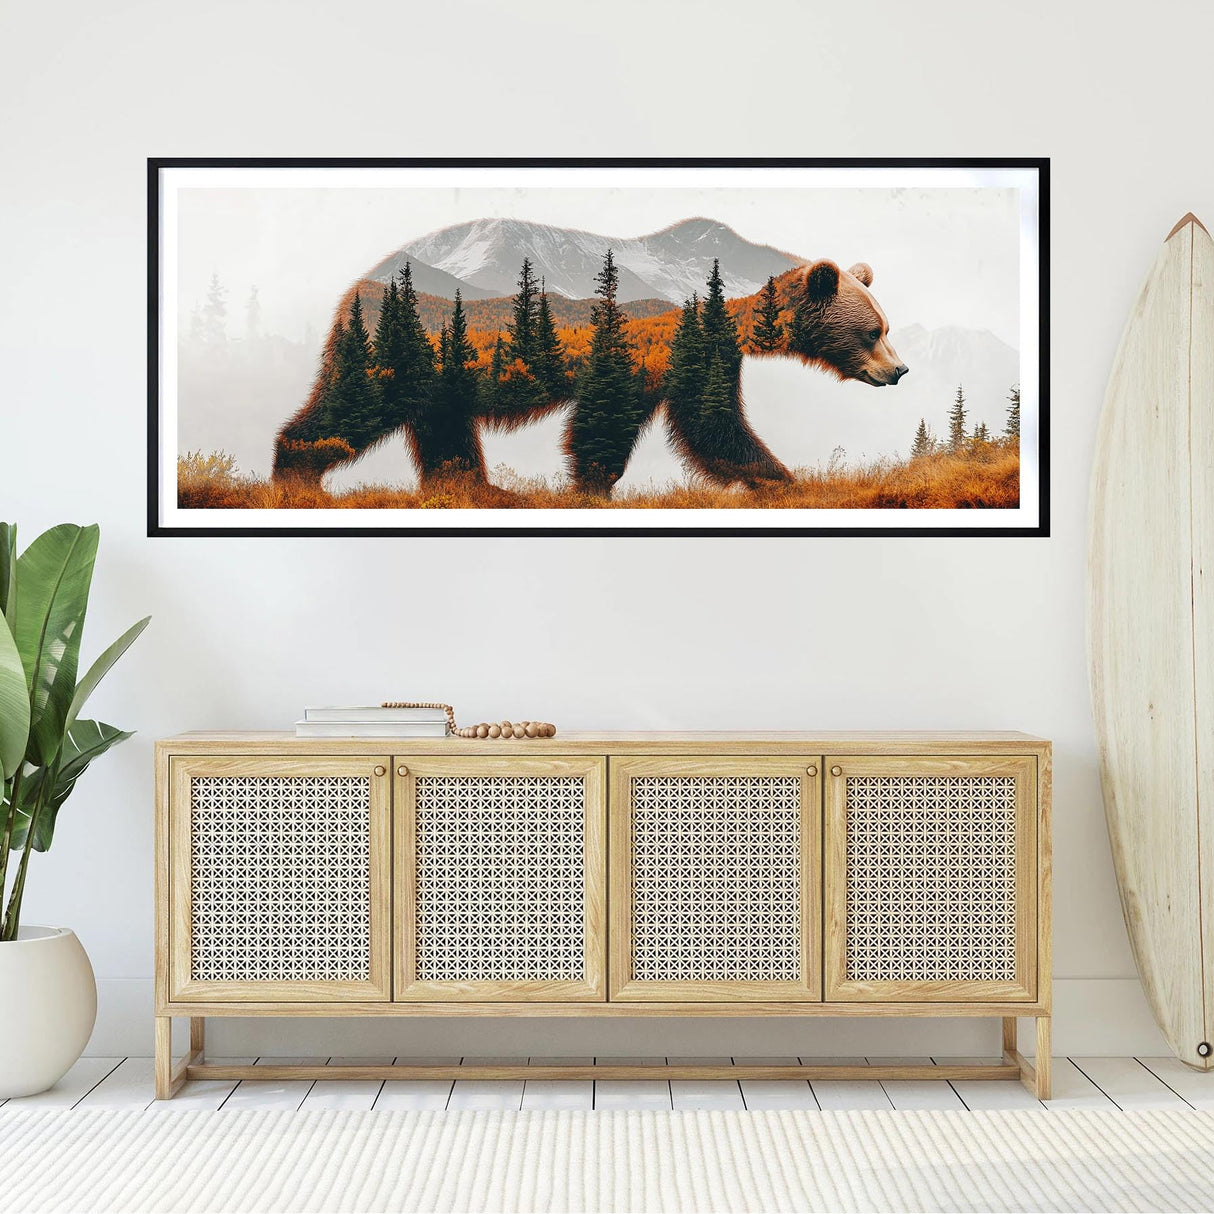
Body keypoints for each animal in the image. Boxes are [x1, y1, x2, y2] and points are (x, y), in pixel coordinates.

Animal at [272, 255, 907, 495]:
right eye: (872, 332)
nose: (899, 370)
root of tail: (352, 294)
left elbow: (703, 423)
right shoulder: (657, 358)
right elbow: (699, 424)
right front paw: (784, 480)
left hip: (440, 380)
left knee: (444, 432)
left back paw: (477, 489)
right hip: (392, 360)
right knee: (345, 412)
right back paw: (295, 474)